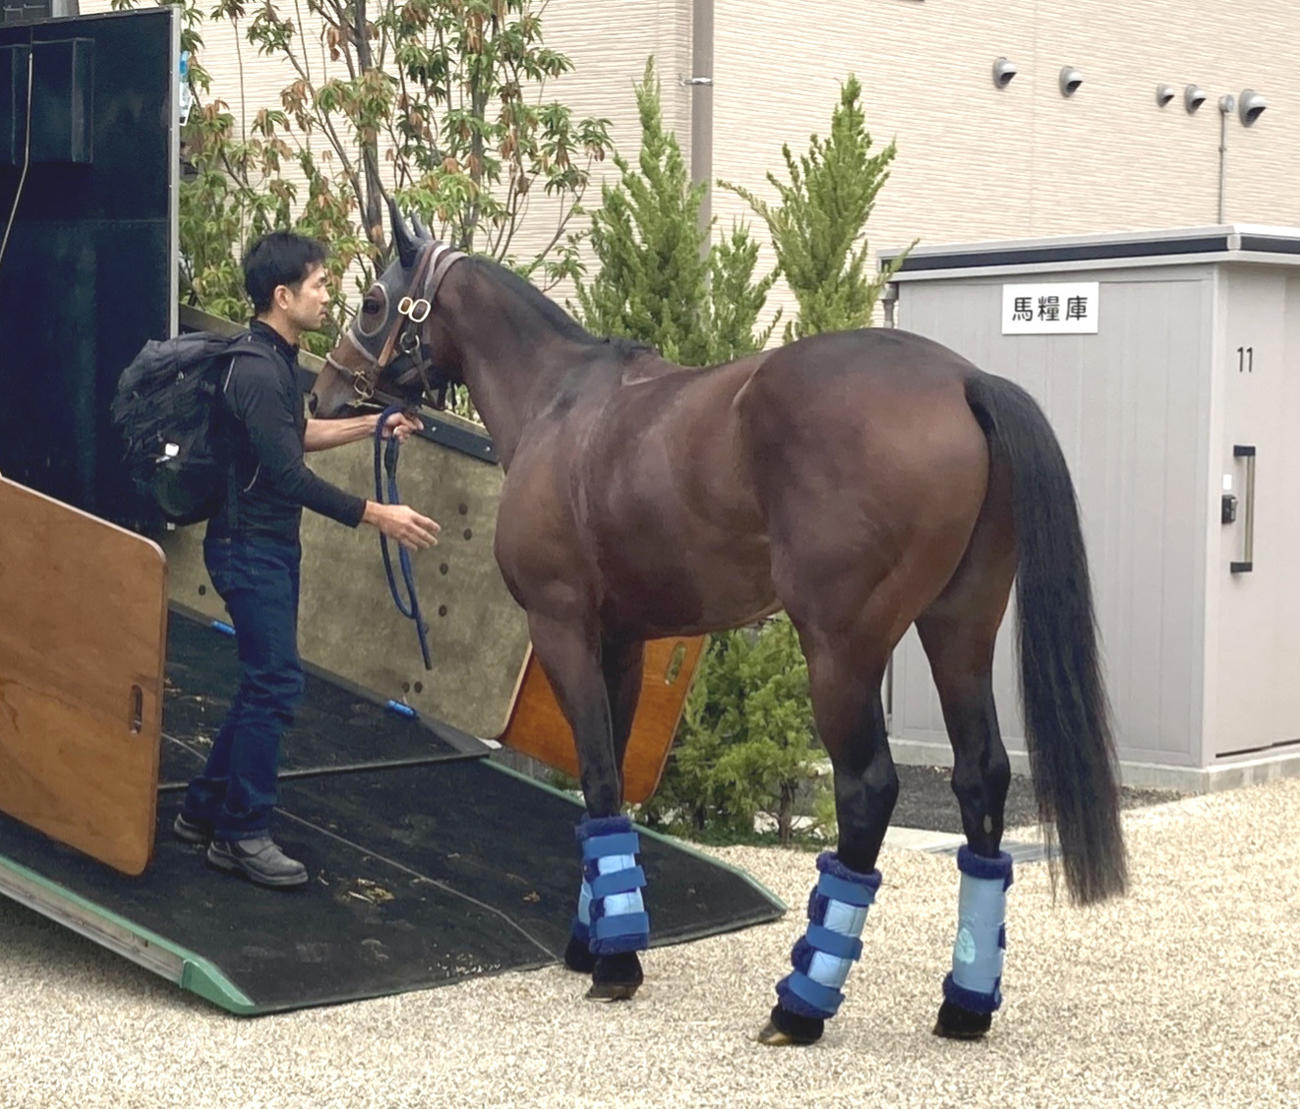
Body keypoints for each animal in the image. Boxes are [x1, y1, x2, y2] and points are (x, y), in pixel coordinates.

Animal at [311, 204, 1128, 1045]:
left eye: (373, 300)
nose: (328, 390)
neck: (561, 403)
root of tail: (963, 381)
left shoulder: (563, 625)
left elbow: (597, 776)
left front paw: (615, 963)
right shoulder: (622, 641)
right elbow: (605, 782)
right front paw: (596, 936)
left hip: (841, 650)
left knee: (867, 788)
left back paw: (800, 1005)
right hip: (959, 629)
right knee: (982, 776)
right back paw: (964, 1004)